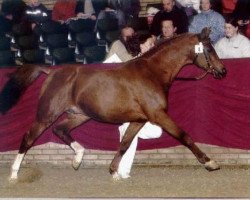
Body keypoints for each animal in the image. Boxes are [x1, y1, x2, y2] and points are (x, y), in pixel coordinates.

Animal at [0, 27, 227, 180]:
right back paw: (14, 173)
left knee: (61, 130)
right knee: (28, 138)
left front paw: (114, 171)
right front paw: (210, 162)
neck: (153, 73)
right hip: (46, 114)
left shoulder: (139, 120)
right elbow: (184, 136)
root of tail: (51, 71)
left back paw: (78, 159)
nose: (223, 71)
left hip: (80, 115)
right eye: (209, 49)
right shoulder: (158, 115)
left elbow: (125, 143)